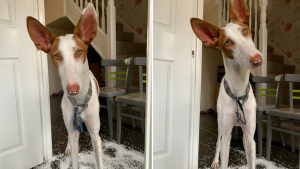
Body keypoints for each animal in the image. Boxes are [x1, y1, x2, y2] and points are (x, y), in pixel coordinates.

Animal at [27, 2, 104, 169]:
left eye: (79, 52)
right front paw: (70, 148)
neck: (80, 102)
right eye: (57, 56)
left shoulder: (93, 132)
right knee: (69, 133)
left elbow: (98, 152)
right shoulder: (72, 128)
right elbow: (74, 156)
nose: (72, 90)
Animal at [192, 0, 262, 169]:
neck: (238, 90)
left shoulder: (250, 136)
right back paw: (214, 162)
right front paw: (217, 162)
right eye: (228, 42)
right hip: (220, 128)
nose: (257, 60)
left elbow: (251, 158)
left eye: (245, 31)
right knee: (218, 143)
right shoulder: (226, 133)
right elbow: (223, 151)